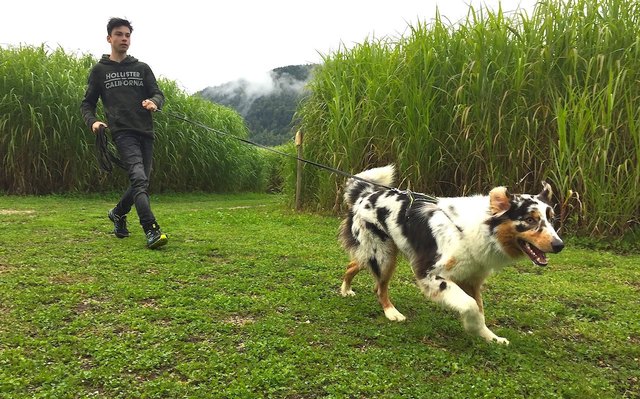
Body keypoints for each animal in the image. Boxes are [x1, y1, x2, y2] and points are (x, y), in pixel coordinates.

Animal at [338, 164, 564, 346]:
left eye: (551, 219)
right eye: (530, 220)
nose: (559, 245)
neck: (479, 229)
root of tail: (366, 194)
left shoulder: (472, 279)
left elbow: (480, 310)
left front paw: (492, 338)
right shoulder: (430, 274)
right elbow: (471, 306)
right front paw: (472, 328)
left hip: (378, 254)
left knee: (353, 265)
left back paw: (346, 290)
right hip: (383, 256)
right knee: (379, 287)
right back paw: (391, 312)